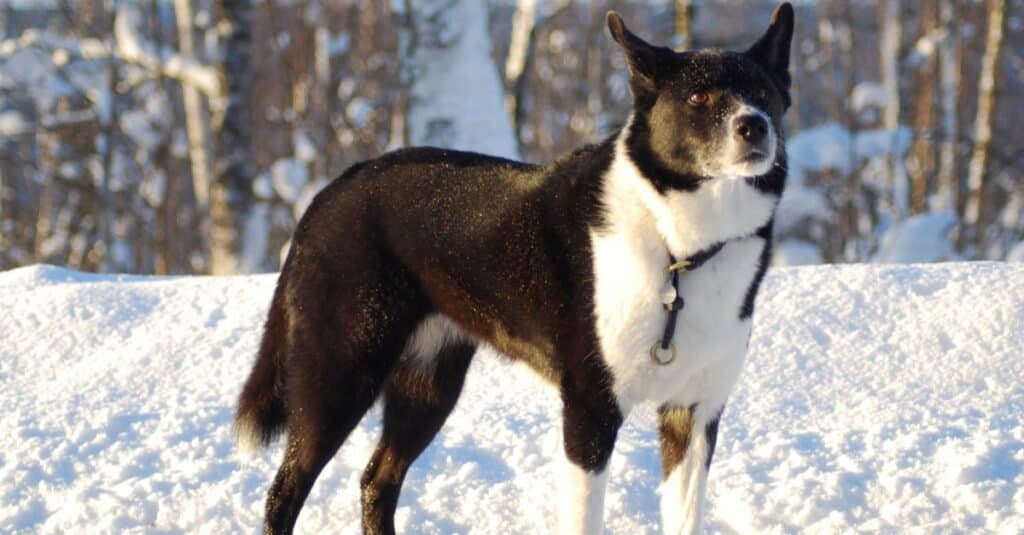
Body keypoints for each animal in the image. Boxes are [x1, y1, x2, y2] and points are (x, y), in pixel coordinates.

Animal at [237, 5, 790, 532]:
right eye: (698, 97)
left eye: (763, 93)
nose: (754, 125)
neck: (679, 246)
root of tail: (332, 190)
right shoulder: (590, 411)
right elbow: (585, 520)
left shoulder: (694, 415)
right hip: (340, 373)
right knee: (284, 490)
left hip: (428, 383)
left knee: (377, 480)